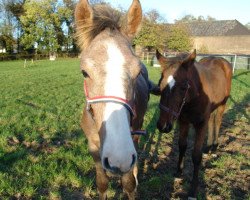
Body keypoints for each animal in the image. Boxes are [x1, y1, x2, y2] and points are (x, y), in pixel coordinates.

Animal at [74, 0, 150, 198]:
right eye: (84, 72)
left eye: (137, 72)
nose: (119, 157)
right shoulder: (93, 147)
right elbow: (102, 183)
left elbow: (129, 184)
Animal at [154, 50, 232, 198]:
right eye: (160, 85)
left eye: (184, 87)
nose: (163, 126)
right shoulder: (183, 121)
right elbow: (182, 145)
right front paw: (179, 172)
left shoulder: (201, 124)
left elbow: (196, 155)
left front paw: (193, 190)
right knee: (212, 121)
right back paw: (209, 147)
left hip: (222, 104)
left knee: (217, 121)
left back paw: (214, 146)